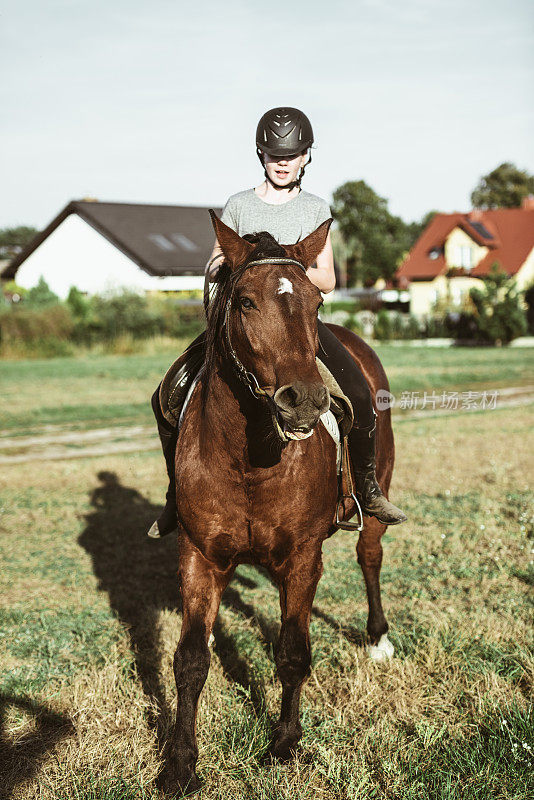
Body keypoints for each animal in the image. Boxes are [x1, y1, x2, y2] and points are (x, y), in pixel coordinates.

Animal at [163, 212, 398, 792]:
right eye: (245, 301)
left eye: (316, 301)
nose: (306, 400)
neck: (249, 460)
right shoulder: (199, 556)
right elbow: (190, 661)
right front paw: (179, 763)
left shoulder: (301, 559)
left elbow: (293, 652)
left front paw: (284, 743)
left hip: (376, 493)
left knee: (370, 555)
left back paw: (378, 638)